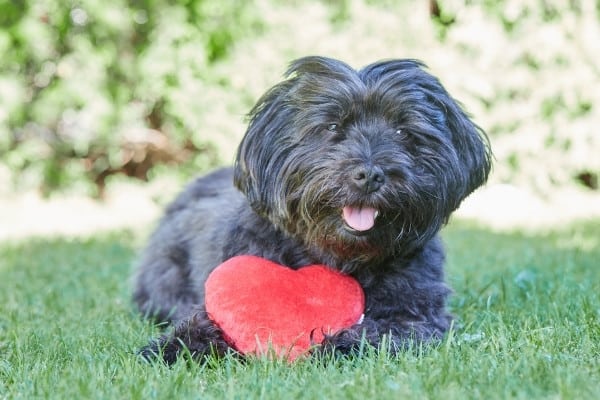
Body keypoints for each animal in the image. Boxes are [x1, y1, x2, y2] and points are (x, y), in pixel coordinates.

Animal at [132, 56, 492, 366]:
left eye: (403, 131)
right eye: (332, 126)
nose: (369, 174)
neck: (339, 255)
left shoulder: (417, 313)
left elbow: (387, 330)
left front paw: (337, 344)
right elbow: (203, 321)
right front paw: (173, 348)